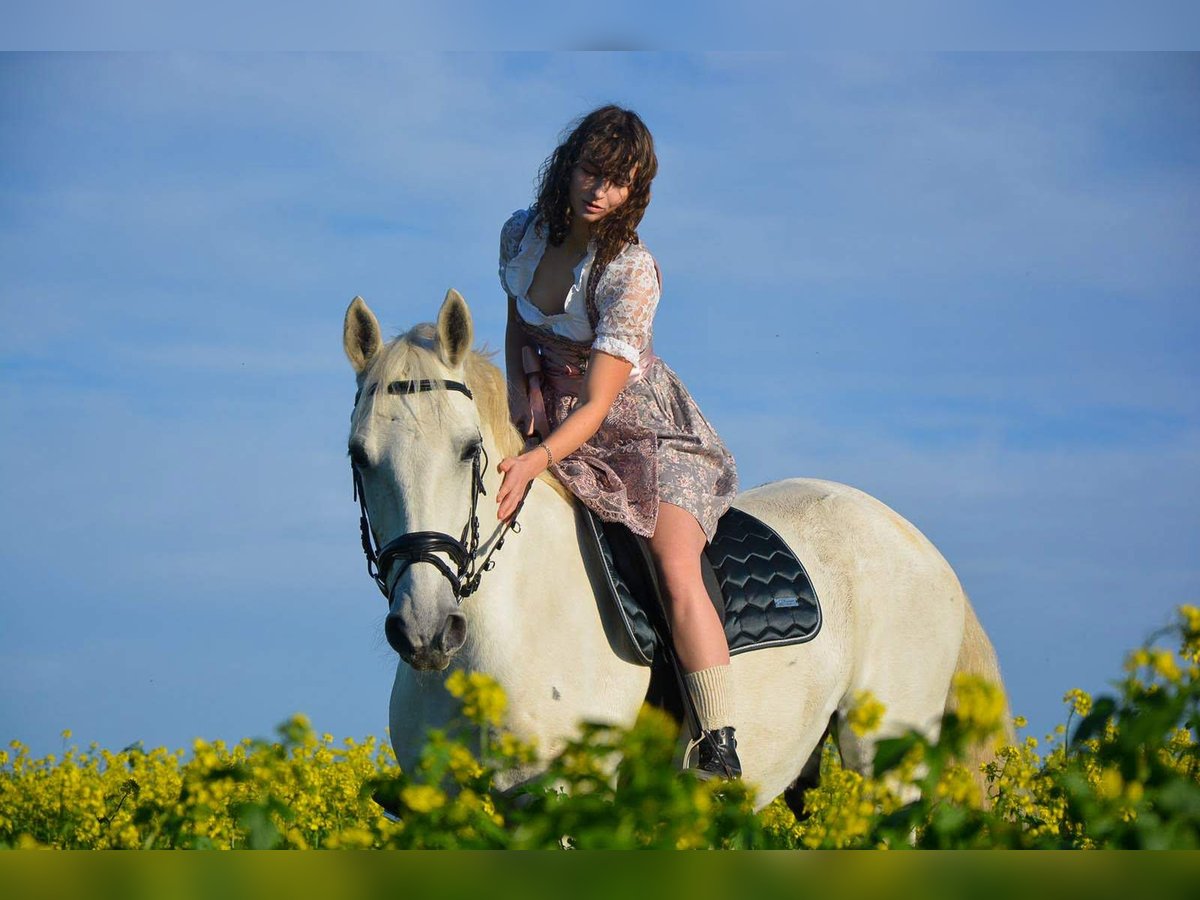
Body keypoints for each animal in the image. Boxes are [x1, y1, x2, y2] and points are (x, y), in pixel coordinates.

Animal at [343, 292, 1017, 816]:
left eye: (468, 450)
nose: (426, 630)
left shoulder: (564, 800)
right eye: (359, 456)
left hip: (886, 761)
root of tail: (919, 544)